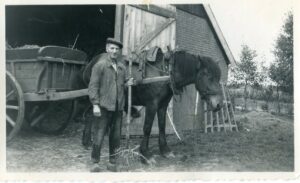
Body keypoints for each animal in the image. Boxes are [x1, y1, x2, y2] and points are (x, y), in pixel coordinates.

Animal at [78, 48, 224, 164]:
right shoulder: (152, 104)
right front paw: (145, 155)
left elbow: (162, 126)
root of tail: (92, 62)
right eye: (208, 76)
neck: (165, 71)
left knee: (90, 116)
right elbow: (147, 128)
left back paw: (87, 143)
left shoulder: (163, 105)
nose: (219, 104)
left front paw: (165, 151)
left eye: (218, 78)